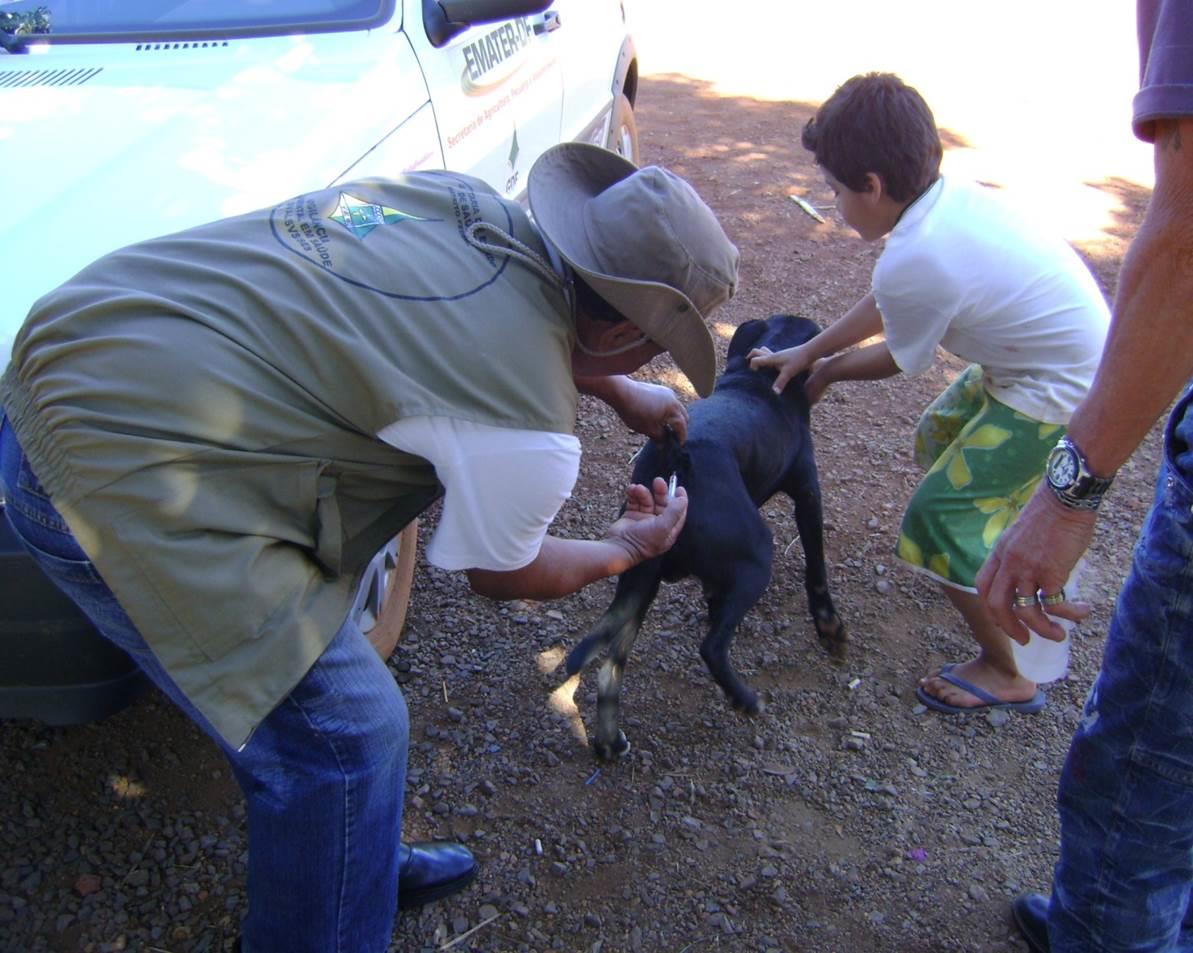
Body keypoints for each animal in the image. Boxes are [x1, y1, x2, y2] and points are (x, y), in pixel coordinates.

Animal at [563, 312, 844, 758]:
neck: (755, 378)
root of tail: (676, 458)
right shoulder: (808, 493)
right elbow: (816, 567)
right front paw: (829, 628)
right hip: (757, 558)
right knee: (711, 647)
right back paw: (745, 699)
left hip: (640, 577)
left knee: (611, 662)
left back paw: (609, 741)